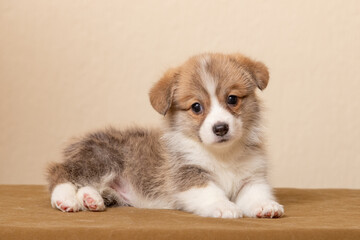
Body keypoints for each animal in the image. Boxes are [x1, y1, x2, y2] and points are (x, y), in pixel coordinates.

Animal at [47, 52, 284, 218]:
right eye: (196, 107)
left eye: (232, 99)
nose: (220, 128)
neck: (221, 154)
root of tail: (78, 142)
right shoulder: (187, 175)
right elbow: (210, 192)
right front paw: (224, 206)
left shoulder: (252, 177)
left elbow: (256, 193)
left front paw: (266, 206)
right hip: (101, 160)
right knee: (60, 172)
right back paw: (66, 200)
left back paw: (91, 200)